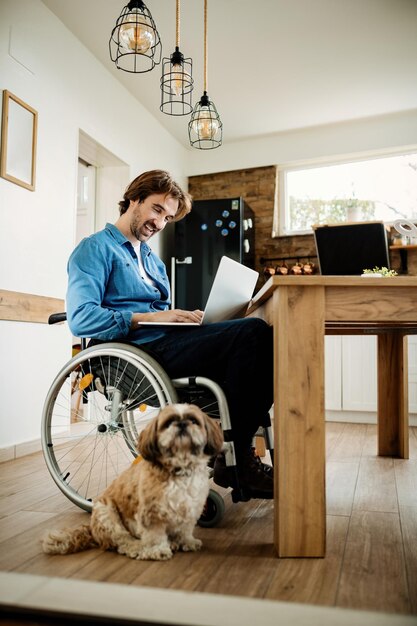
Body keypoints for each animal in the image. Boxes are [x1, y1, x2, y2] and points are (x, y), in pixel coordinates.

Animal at [42, 404, 223, 560]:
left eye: (194, 420)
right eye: (168, 422)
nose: (182, 424)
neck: (180, 468)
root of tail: (92, 529)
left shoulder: (190, 508)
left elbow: (185, 529)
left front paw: (187, 542)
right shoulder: (151, 513)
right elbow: (155, 535)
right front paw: (158, 550)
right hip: (107, 513)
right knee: (122, 541)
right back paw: (138, 547)